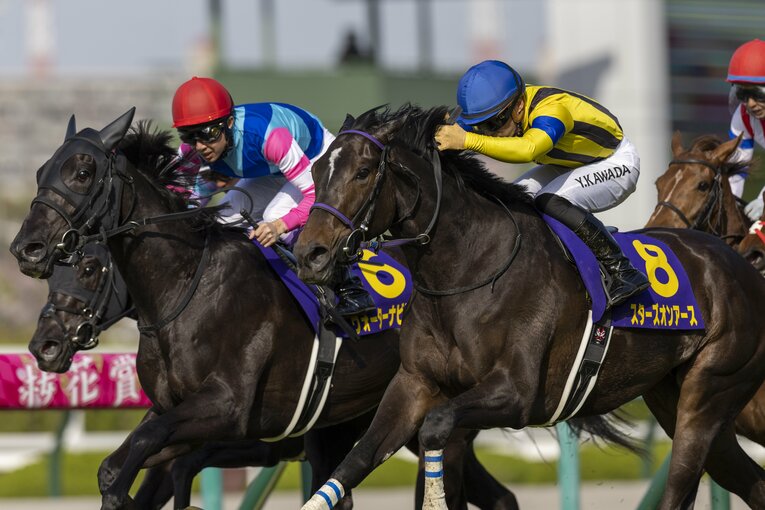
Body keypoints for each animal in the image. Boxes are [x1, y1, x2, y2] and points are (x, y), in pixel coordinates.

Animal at [9, 110, 517, 510]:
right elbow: (119, 466)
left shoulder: (227, 410)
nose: (26, 248)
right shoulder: (175, 413)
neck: (185, 289)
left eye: (82, 172)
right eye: (40, 172)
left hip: (440, 419)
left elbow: (147, 455)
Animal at [293, 104, 765, 509]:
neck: (468, 270)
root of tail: (741, 265)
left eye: (363, 171)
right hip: (674, 399)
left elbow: (436, 428)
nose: (309, 255)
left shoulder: (515, 393)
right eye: (316, 170)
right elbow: (356, 460)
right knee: (750, 482)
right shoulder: (413, 384)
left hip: (708, 393)